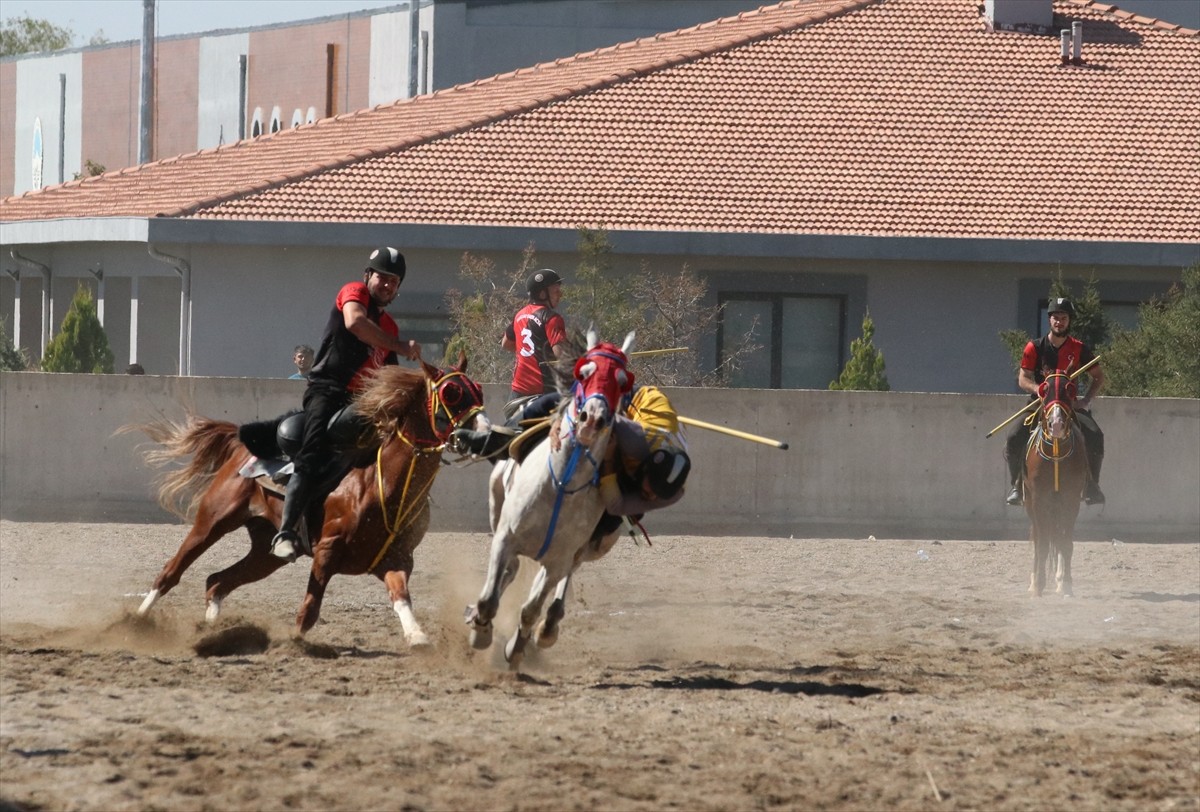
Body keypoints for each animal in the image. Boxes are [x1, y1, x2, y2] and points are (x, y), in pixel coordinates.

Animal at [132, 357, 487, 647]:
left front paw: (417, 637)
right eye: (452, 393)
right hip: (212, 521)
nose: (483, 435)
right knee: (171, 573)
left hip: (266, 552)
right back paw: (136, 620)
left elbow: (401, 597)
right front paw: (294, 643)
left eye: (479, 391)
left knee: (216, 583)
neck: (381, 485)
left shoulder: (397, 560)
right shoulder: (326, 552)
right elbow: (309, 610)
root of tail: (239, 446)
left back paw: (213, 632)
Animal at [465, 326, 638, 666]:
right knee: (510, 571)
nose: (592, 419)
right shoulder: (505, 537)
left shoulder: (561, 557)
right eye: (585, 372)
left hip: (587, 549)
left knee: (559, 583)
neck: (561, 484)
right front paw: (480, 633)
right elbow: (490, 598)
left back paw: (548, 627)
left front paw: (517, 648)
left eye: (623, 380)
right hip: (497, 505)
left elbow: (531, 609)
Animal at [1022, 371, 1089, 594]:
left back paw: (1059, 579)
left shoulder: (1071, 498)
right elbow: (1042, 543)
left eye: (1070, 389)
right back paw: (1034, 579)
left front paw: (1066, 584)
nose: (1057, 425)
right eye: (1044, 389)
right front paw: (1038, 585)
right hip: (1031, 502)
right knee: (1038, 537)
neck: (1057, 451)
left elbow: (1065, 542)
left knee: (1058, 535)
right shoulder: (1039, 498)